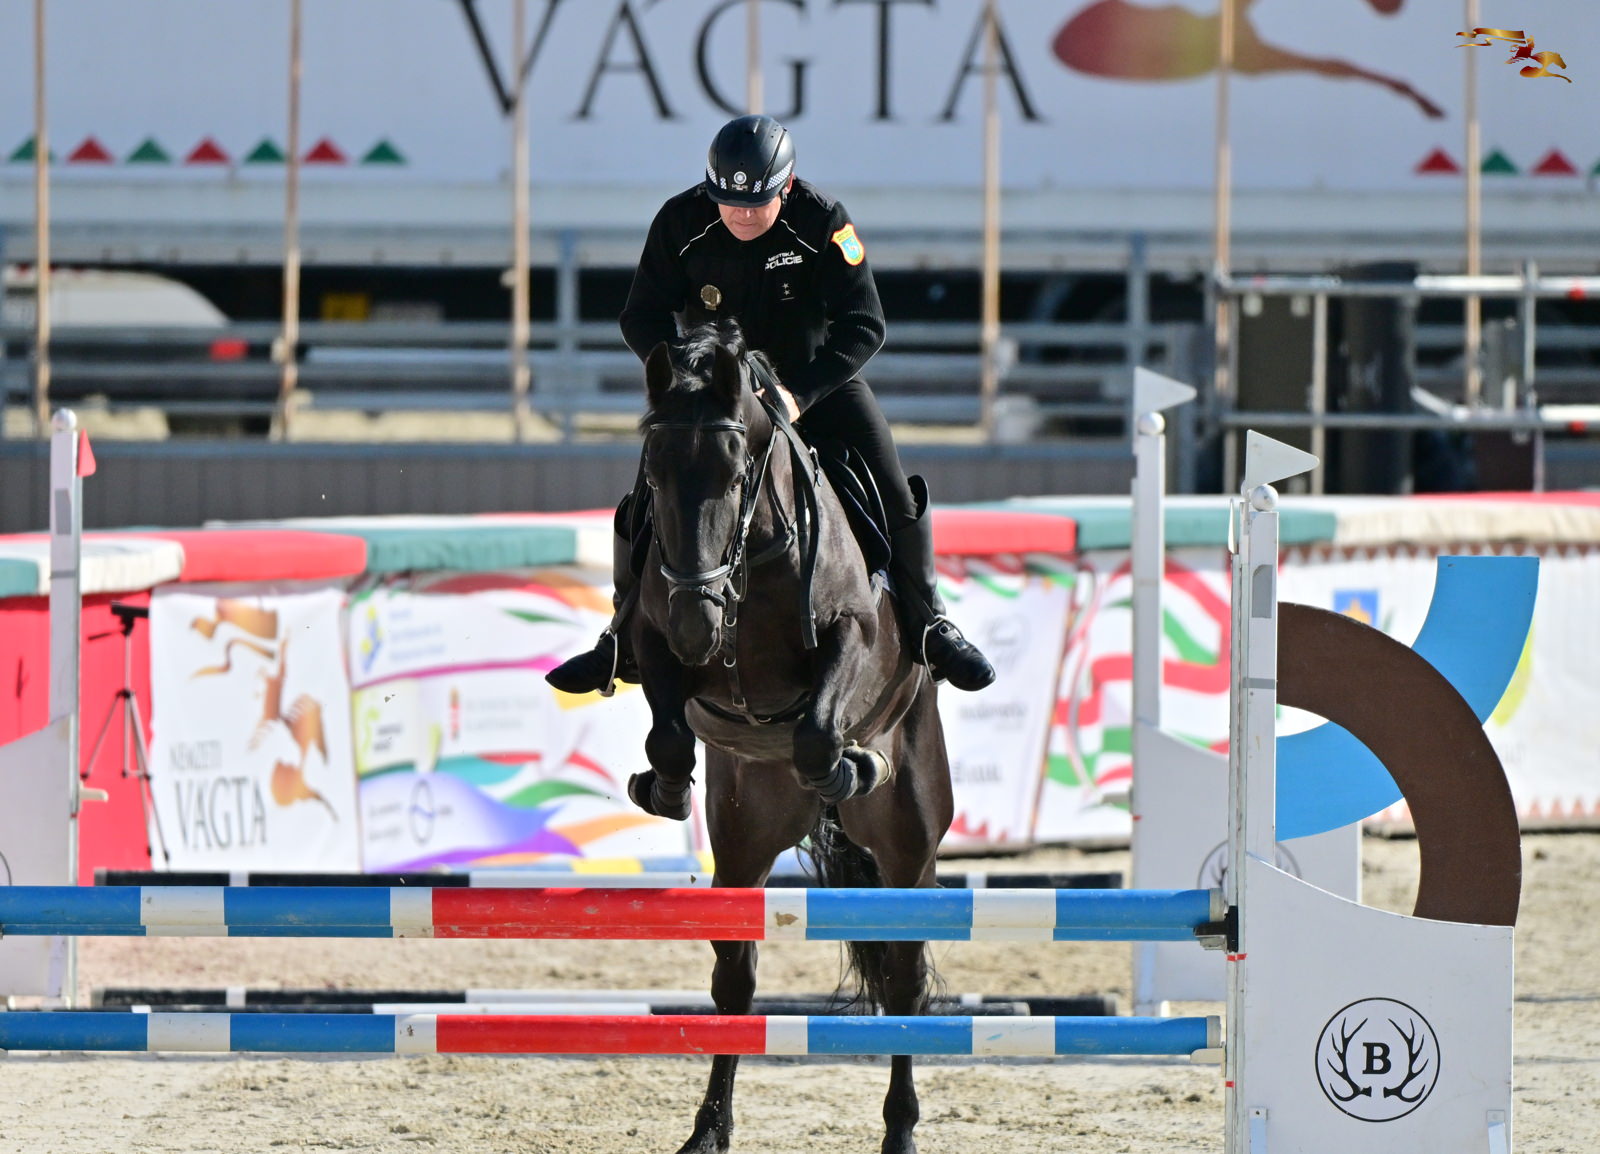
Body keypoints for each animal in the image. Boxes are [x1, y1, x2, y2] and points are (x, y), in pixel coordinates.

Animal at [622, 320, 953, 1154]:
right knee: (735, 979)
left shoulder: (850, 635)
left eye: (738, 471)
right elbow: (668, 735)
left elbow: (816, 731)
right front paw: (662, 787)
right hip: (744, 838)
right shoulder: (653, 639)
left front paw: (847, 765)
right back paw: (708, 1129)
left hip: (910, 840)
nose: (697, 622)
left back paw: (900, 1131)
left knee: (905, 977)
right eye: (653, 473)